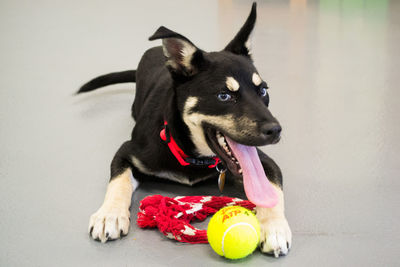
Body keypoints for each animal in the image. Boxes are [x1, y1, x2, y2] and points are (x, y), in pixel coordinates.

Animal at [79, 2, 290, 258]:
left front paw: (275, 228)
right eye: (224, 96)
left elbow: (273, 193)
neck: (190, 153)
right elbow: (119, 182)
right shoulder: (127, 152)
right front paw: (109, 215)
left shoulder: (266, 163)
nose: (275, 130)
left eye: (263, 91)